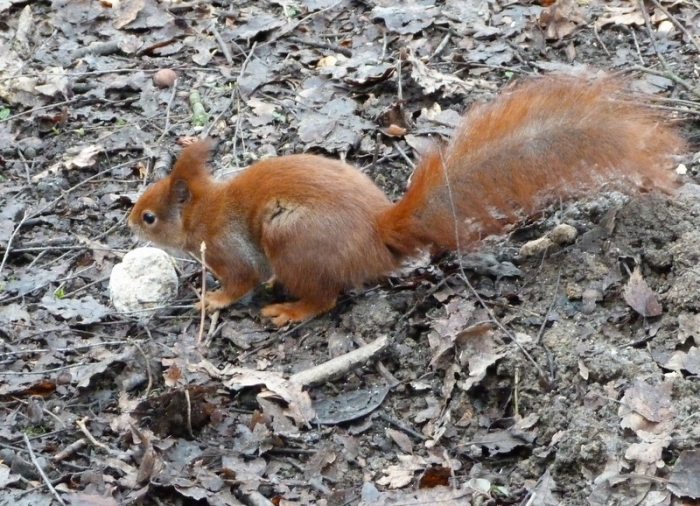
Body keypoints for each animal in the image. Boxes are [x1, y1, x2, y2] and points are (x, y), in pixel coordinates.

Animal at [128, 74, 684, 326]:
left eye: (150, 216)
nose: (129, 221)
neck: (202, 210)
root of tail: (377, 234)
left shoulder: (228, 248)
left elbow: (241, 279)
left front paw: (214, 298)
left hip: (292, 237)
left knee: (324, 297)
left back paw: (289, 310)